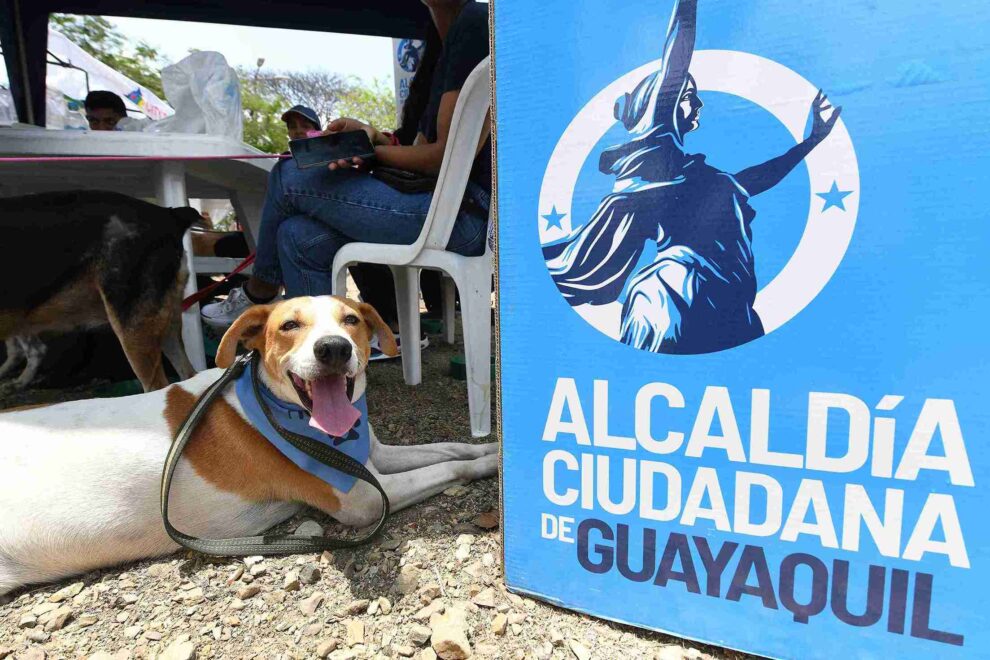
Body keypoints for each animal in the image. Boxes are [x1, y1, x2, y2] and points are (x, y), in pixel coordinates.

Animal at [0, 296, 496, 596]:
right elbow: (446, 468)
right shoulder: (362, 499)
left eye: (351, 320)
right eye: (289, 325)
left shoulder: (375, 456)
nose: (333, 348)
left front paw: (492, 451)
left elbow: (450, 449)